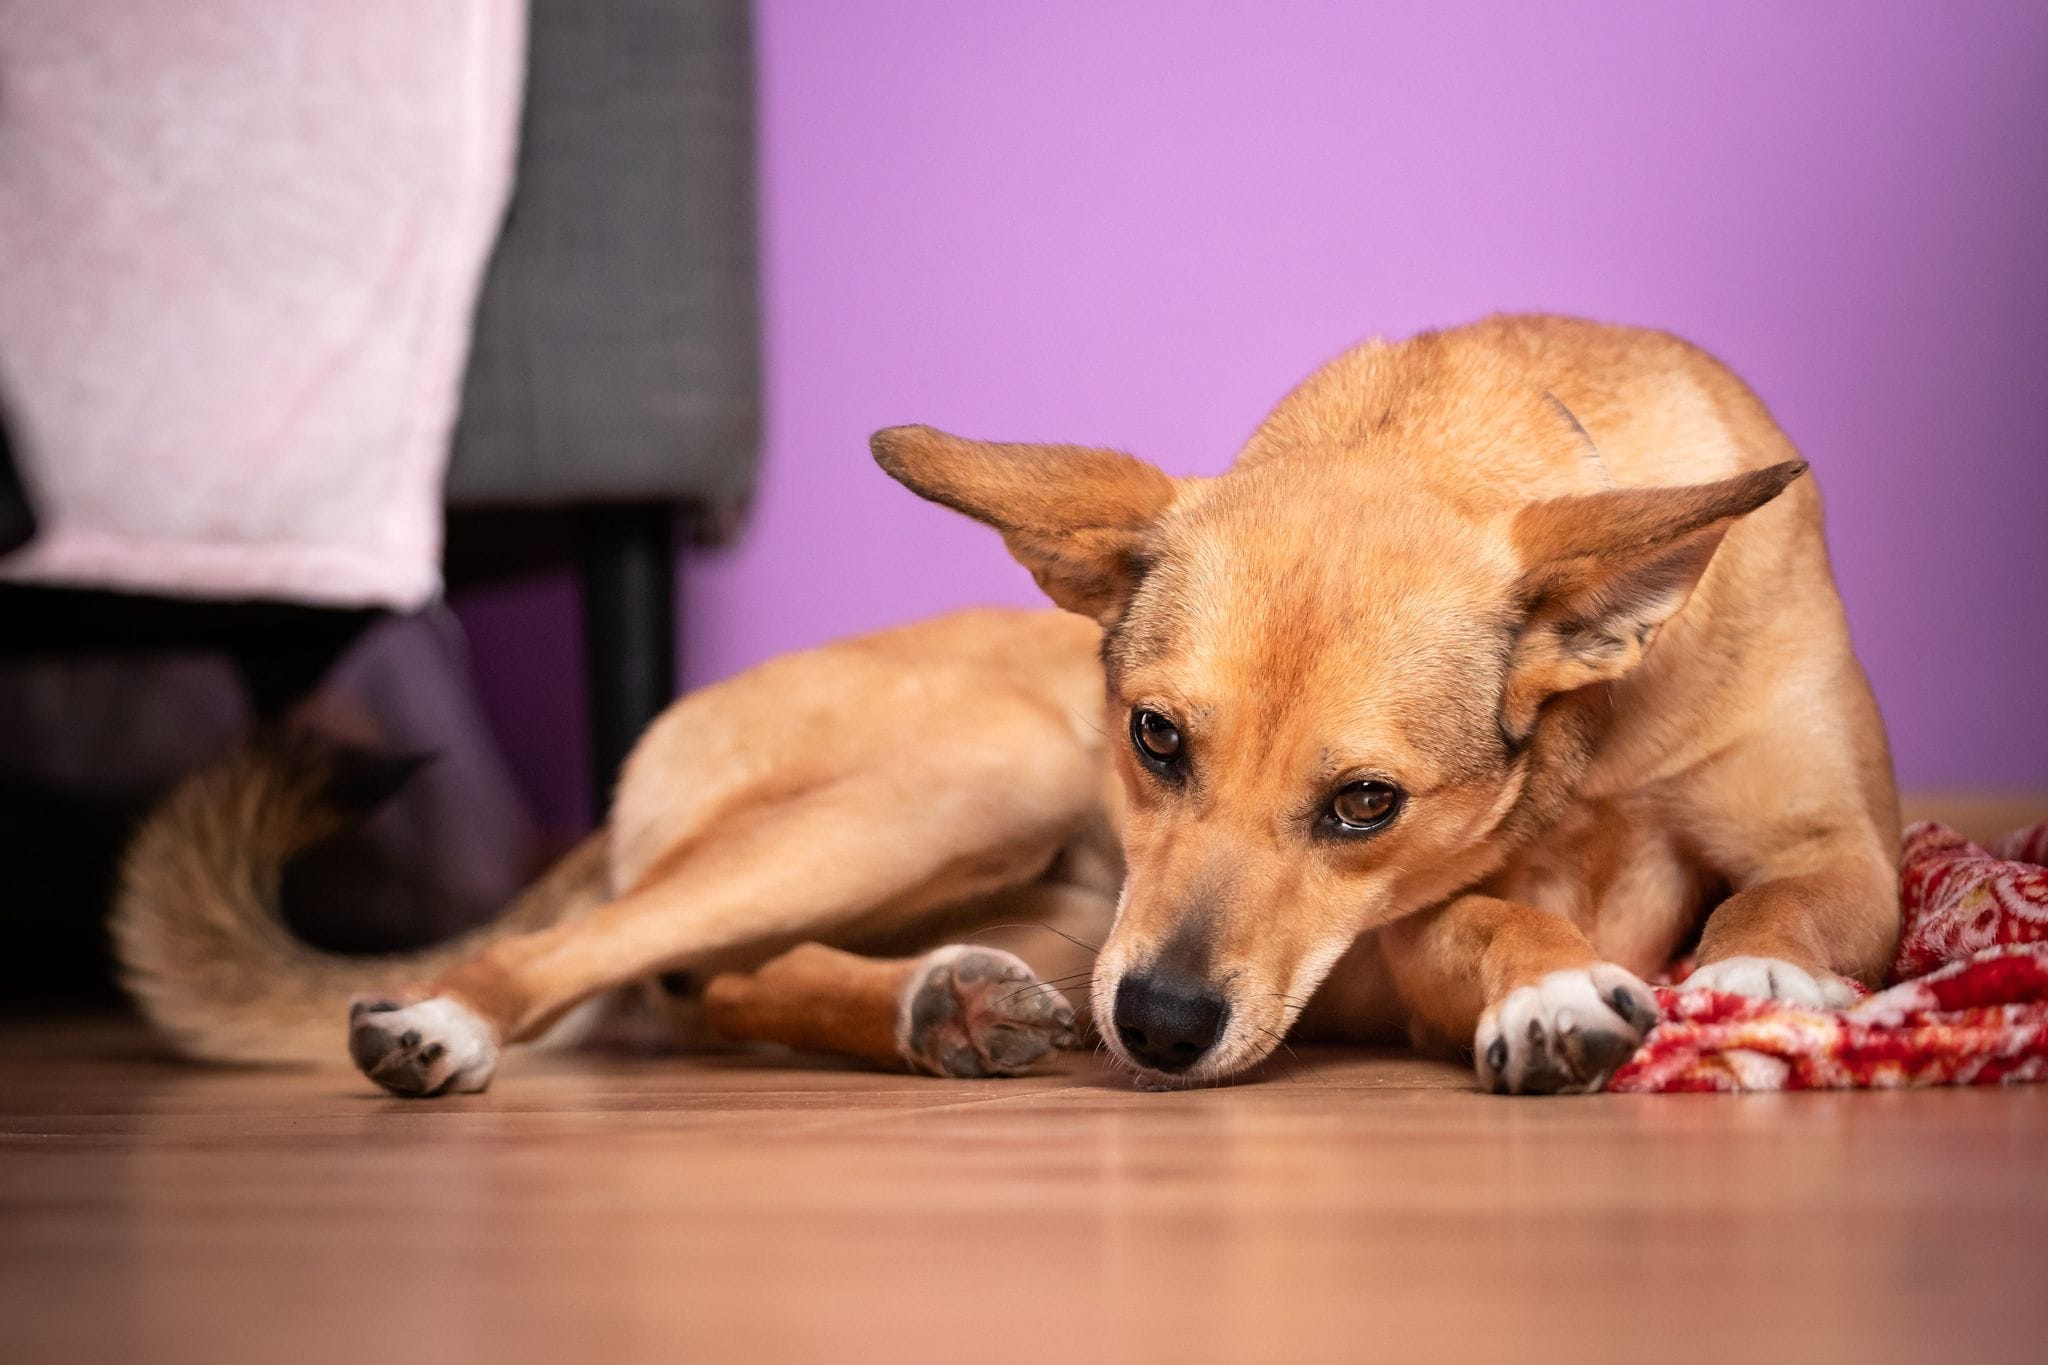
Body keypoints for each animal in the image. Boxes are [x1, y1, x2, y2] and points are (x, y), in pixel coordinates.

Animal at [114, 314, 1901, 1096]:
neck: (1588, 746)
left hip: (1043, 901)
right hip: (970, 786)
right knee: (630, 963)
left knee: (726, 982)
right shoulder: (1389, 944)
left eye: (1364, 802)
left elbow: (1807, 894)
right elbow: (1486, 924)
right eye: (1157, 737)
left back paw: (946, 1008)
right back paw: (443, 1019)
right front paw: (1546, 988)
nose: (1160, 1031)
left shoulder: (1844, 839)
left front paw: (1762, 976)